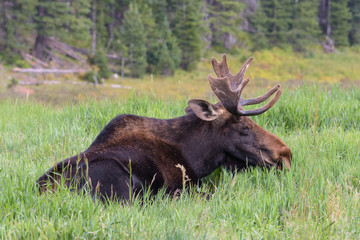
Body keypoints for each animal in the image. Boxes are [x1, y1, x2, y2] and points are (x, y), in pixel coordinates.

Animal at [36, 55, 292, 202]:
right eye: (245, 126)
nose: (286, 154)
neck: (197, 157)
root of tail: (42, 192)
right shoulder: (182, 187)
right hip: (119, 182)